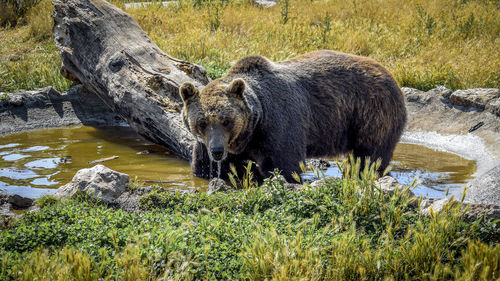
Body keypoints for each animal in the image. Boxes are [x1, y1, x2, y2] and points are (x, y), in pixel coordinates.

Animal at [180, 49, 406, 182]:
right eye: (202, 122)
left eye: (227, 121)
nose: (218, 151)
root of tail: (391, 76)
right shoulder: (216, 143)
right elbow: (204, 165)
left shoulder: (280, 124)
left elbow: (284, 164)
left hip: (373, 113)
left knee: (370, 156)